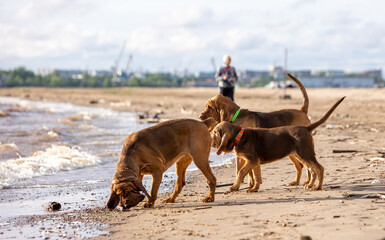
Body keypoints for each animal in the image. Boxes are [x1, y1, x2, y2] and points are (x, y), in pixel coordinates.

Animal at [212, 96, 344, 192]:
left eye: (214, 133)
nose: (211, 142)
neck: (239, 136)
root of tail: (306, 128)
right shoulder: (255, 162)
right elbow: (256, 176)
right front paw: (254, 189)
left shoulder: (252, 160)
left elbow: (241, 172)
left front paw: (234, 187)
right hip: (302, 155)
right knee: (312, 170)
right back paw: (310, 185)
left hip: (305, 153)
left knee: (319, 168)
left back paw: (317, 187)